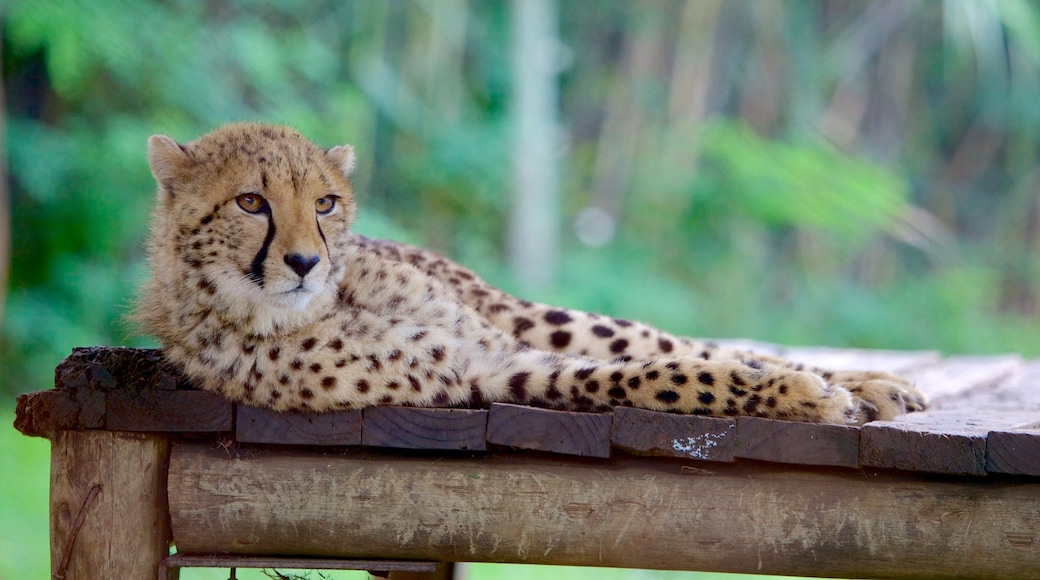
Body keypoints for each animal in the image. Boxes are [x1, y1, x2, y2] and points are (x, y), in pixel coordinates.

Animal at [136, 122, 927, 426]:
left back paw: (877, 383)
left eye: (325, 203)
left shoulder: (495, 344)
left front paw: (819, 387)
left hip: (536, 316)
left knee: (685, 342)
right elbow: (665, 378)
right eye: (251, 202)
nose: (305, 261)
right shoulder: (487, 371)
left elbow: (688, 361)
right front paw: (805, 397)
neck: (321, 306)